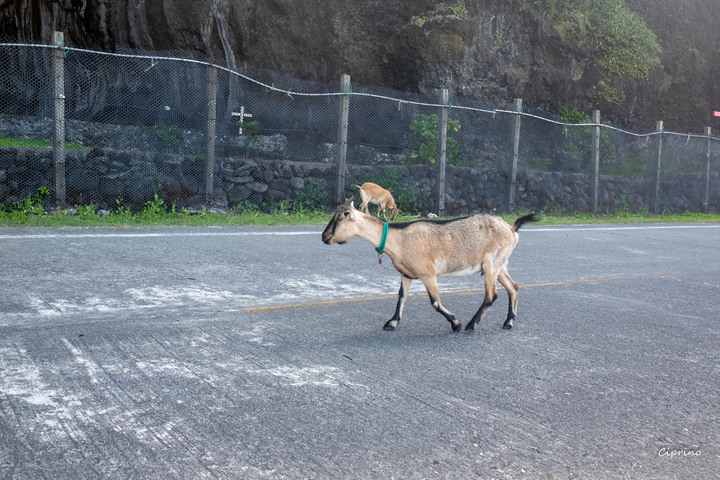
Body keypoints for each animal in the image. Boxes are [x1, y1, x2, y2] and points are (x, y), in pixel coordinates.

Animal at [320, 197, 536, 332]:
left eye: (341, 217)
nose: (324, 237)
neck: (398, 239)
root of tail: (511, 228)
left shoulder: (428, 273)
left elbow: (435, 302)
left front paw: (456, 323)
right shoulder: (406, 274)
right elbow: (401, 296)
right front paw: (392, 323)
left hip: (490, 262)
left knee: (491, 295)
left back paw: (470, 325)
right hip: (500, 264)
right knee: (513, 287)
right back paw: (509, 322)